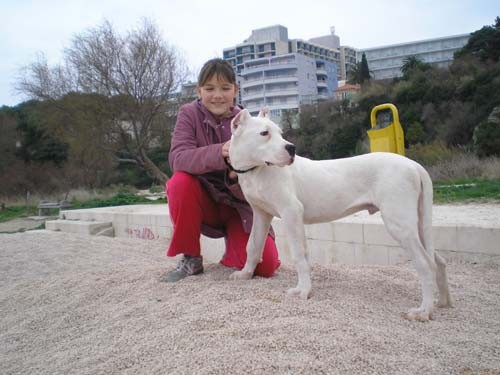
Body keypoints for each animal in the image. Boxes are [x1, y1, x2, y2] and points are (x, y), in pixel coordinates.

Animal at [230, 108, 454, 324]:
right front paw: (245, 274)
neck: (256, 170)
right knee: (438, 261)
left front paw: (303, 291)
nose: (291, 148)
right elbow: (253, 246)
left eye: (280, 133)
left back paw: (423, 311)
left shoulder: (291, 212)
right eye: (264, 133)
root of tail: (415, 166)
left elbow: (298, 255)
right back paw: (442, 302)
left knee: (426, 264)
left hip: (399, 224)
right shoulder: (261, 214)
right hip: (416, 226)